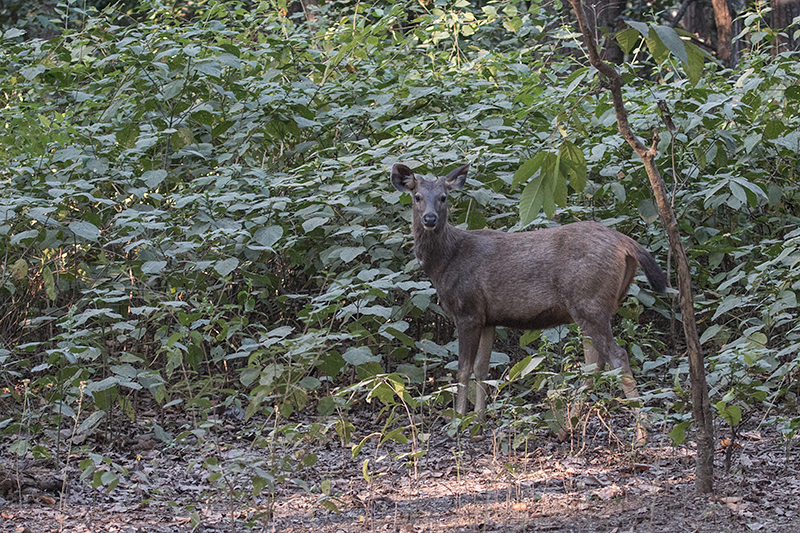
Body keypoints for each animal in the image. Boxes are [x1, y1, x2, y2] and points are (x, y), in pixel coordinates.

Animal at [390, 161, 664, 432]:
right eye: (417, 196)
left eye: (443, 197)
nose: (430, 218)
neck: (445, 263)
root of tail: (625, 242)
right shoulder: (487, 317)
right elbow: (481, 368)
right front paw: (478, 420)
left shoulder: (467, 310)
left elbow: (463, 369)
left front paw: (457, 421)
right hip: (591, 307)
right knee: (593, 362)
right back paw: (569, 422)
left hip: (590, 301)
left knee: (616, 356)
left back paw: (640, 429)